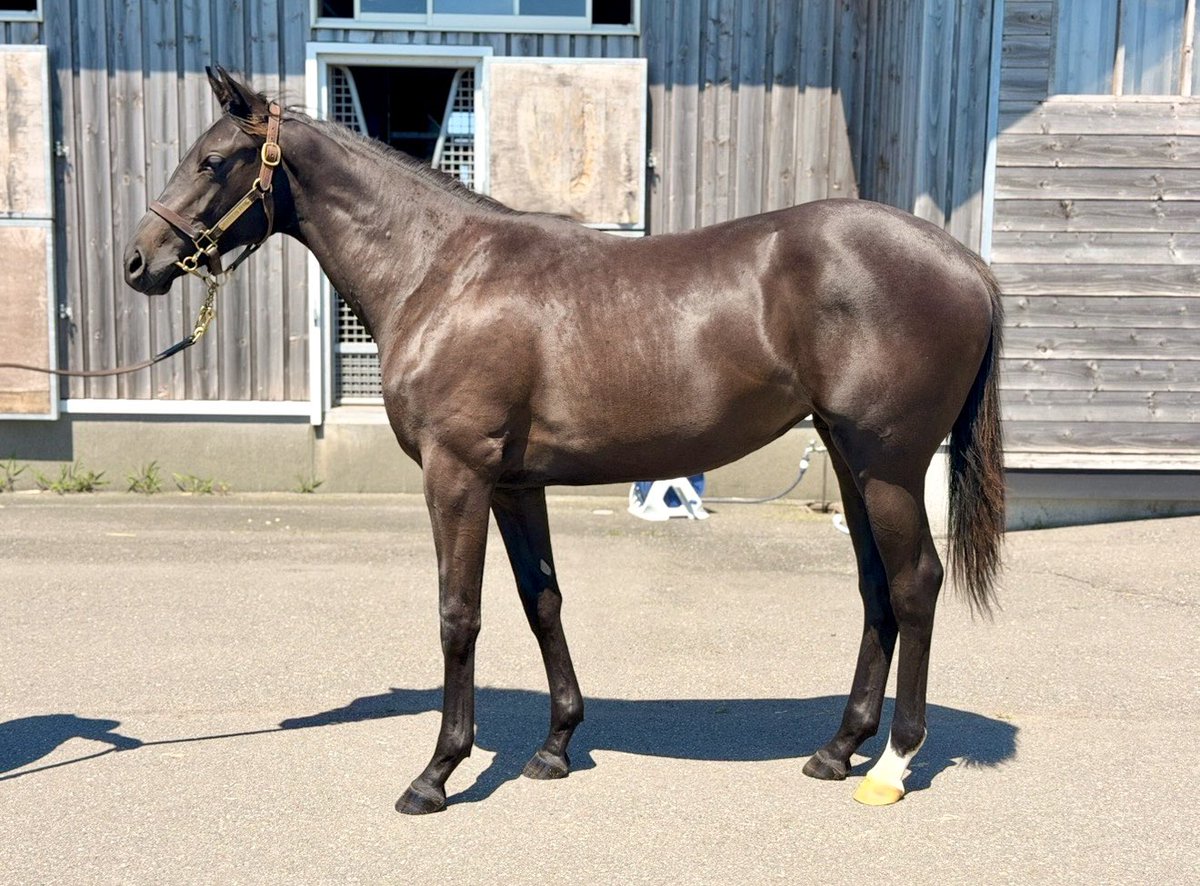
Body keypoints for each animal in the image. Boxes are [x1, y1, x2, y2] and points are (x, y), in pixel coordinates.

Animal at [123, 67, 1004, 814]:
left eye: (213, 160)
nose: (139, 261)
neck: (443, 272)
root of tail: (966, 263)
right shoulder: (515, 483)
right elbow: (540, 600)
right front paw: (554, 747)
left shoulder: (457, 475)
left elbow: (459, 614)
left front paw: (437, 773)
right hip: (853, 462)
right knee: (877, 590)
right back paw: (837, 749)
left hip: (888, 466)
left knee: (916, 584)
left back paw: (892, 765)